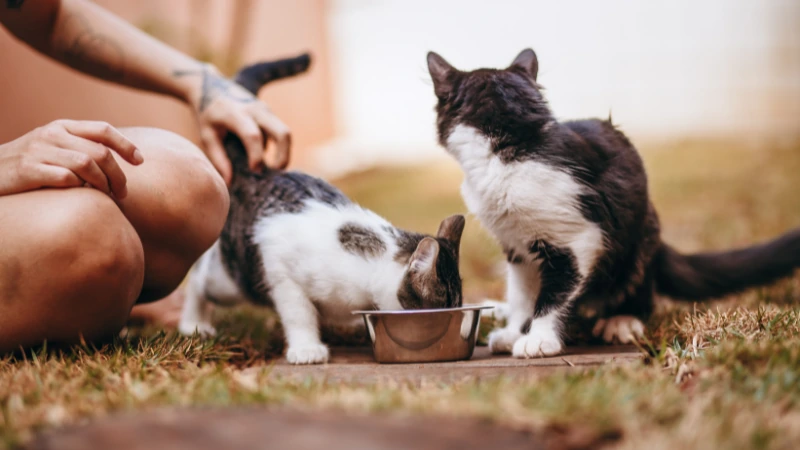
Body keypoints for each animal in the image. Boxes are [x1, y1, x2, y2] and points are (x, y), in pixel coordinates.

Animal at [178, 55, 466, 366]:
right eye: (445, 308)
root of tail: (258, 170)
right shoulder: (281, 270)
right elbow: (298, 313)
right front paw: (307, 348)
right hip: (233, 278)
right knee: (200, 277)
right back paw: (194, 323)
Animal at [428, 48, 800, 358]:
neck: (513, 146)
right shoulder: (516, 245)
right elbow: (521, 291)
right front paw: (515, 329)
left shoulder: (580, 237)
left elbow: (555, 293)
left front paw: (539, 337)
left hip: (638, 240)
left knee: (638, 287)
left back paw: (621, 320)